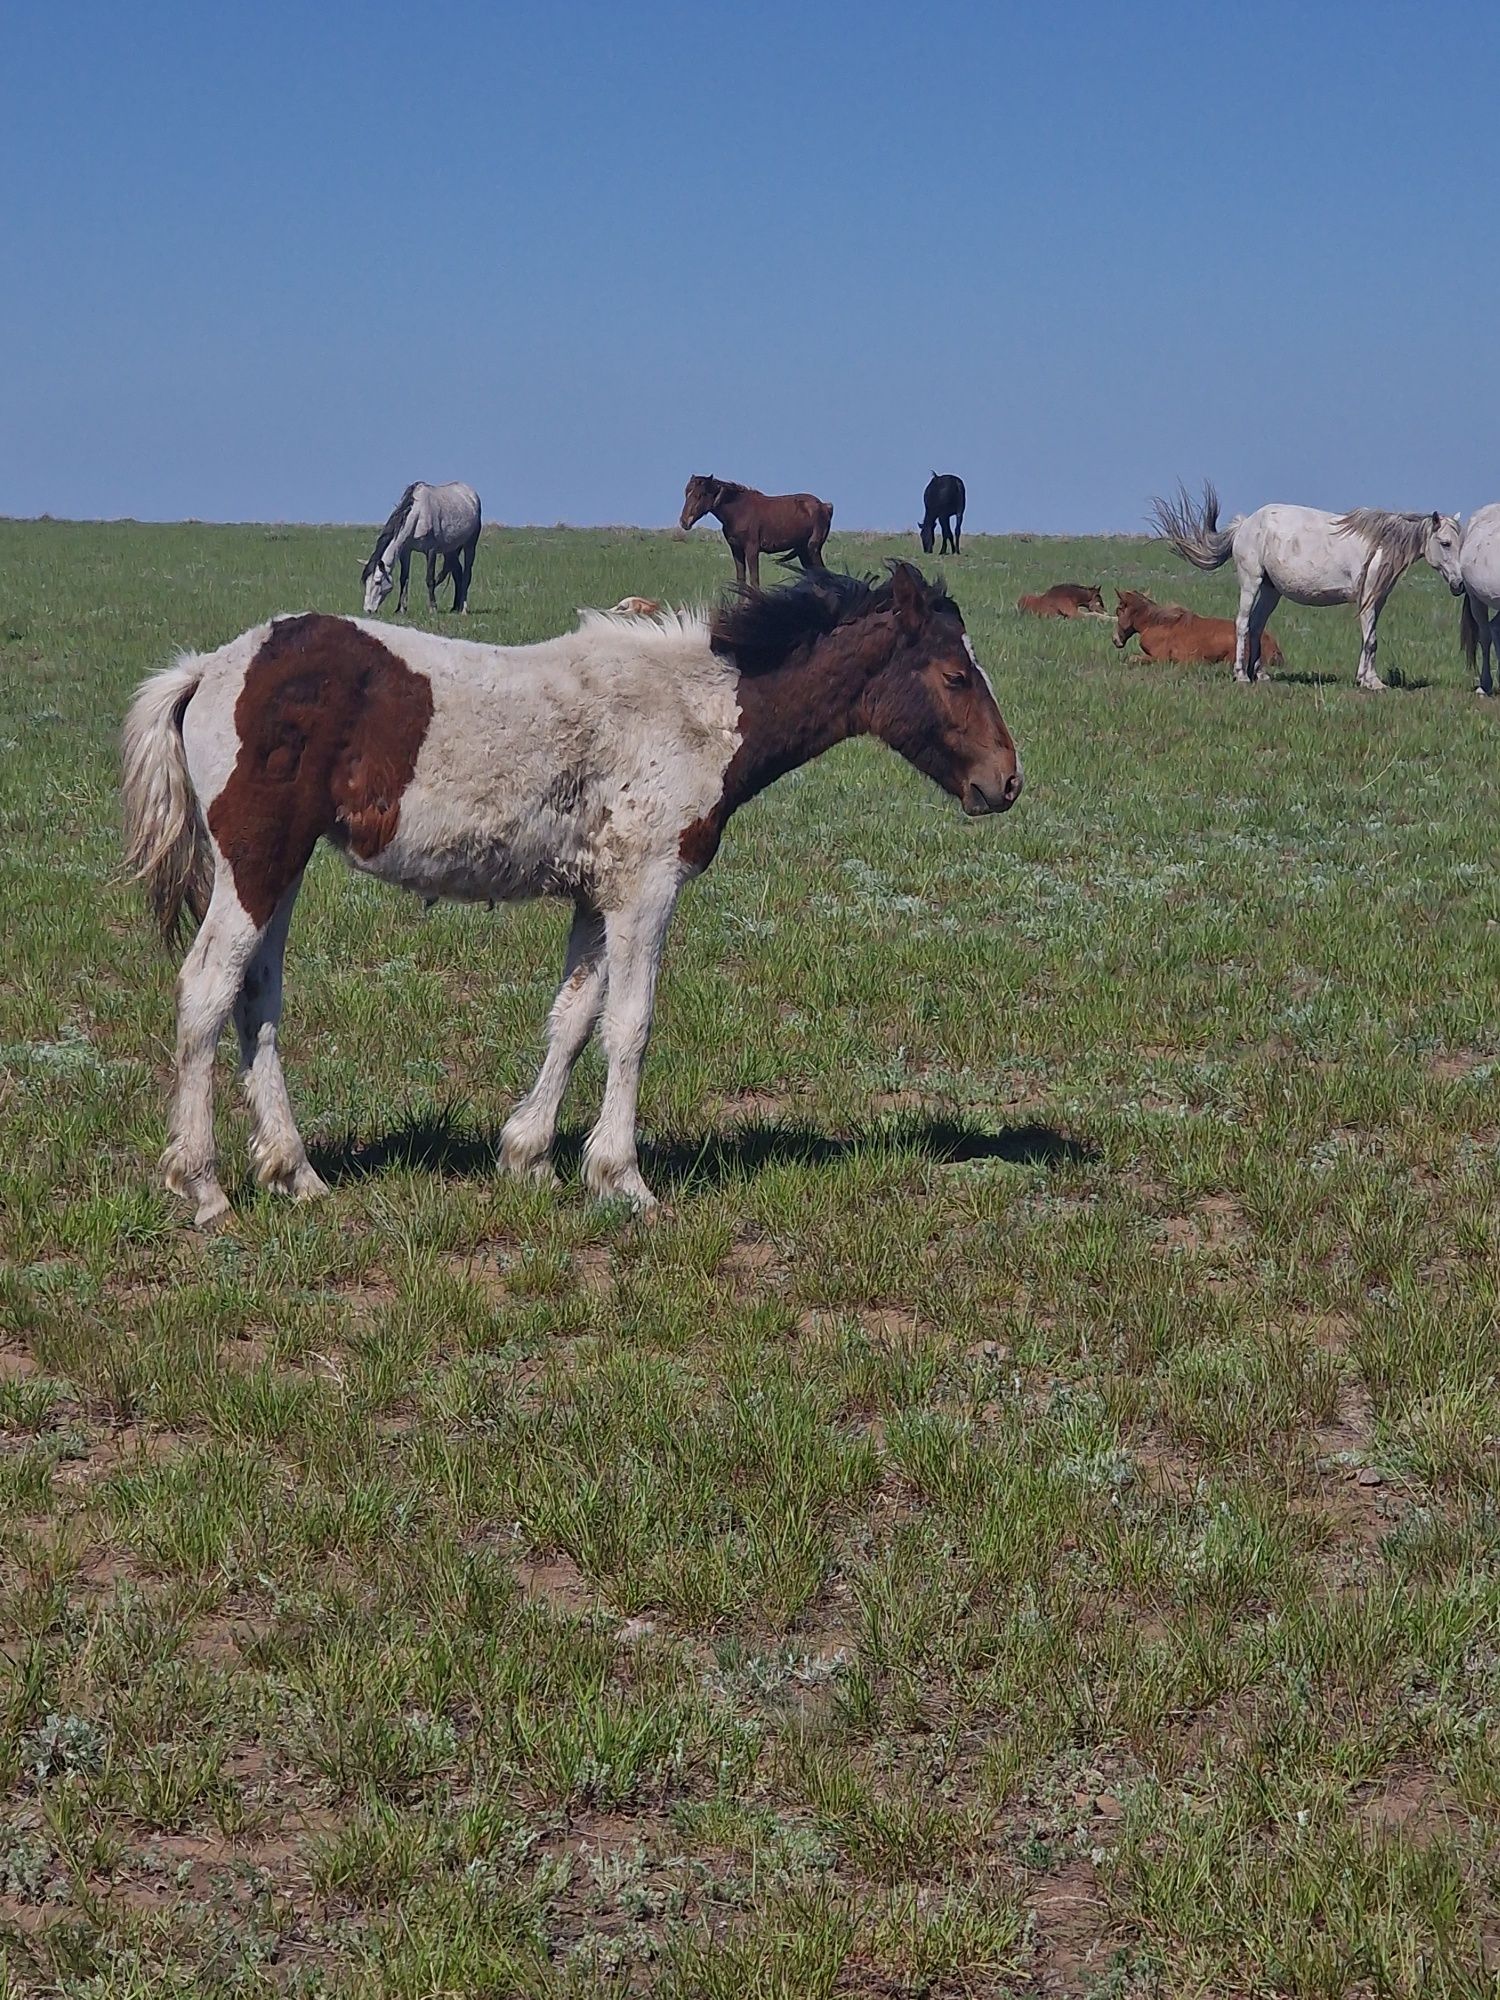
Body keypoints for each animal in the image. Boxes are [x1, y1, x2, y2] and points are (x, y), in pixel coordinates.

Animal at [364, 480, 482, 612]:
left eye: (377, 582)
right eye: (365, 582)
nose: (368, 609)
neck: (418, 514)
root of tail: (472, 494)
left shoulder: (431, 551)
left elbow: (430, 579)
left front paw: (433, 608)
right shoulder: (406, 551)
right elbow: (404, 578)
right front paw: (401, 609)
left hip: (470, 545)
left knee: (466, 574)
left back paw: (463, 609)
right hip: (451, 549)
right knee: (457, 572)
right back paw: (455, 608)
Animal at [680, 474, 836, 584]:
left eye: (699, 495)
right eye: (686, 493)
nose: (684, 522)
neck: (739, 511)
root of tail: (825, 506)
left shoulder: (752, 550)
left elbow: (754, 581)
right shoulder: (736, 550)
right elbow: (741, 581)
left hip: (813, 549)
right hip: (804, 552)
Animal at [1120, 584, 1288, 672]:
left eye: (1118, 609)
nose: (1117, 640)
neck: (1156, 623)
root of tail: (1275, 648)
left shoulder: (1160, 658)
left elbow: (1134, 658)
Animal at [1160, 486, 1464, 696]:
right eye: (1445, 543)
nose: (1460, 585)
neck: (1379, 545)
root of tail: (1244, 524)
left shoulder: (1377, 600)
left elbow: (1369, 639)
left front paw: (1365, 678)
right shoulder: (1367, 599)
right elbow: (1371, 640)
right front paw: (1372, 682)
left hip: (1270, 591)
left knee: (1257, 626)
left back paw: (1260, 674)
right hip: (1251, 583)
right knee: (1243, 624)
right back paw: (1242, 675)